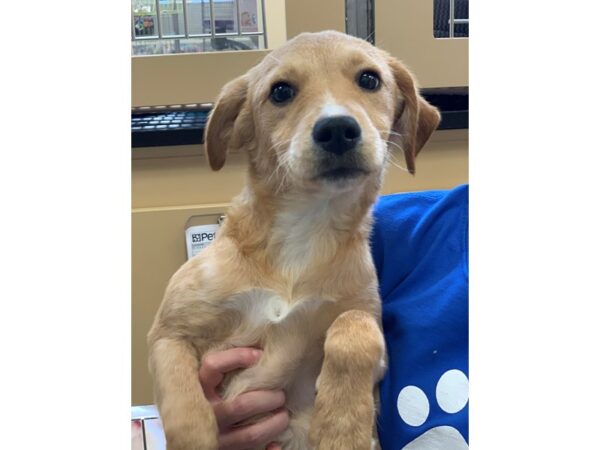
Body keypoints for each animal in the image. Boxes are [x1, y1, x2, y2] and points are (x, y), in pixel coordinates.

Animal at [149, 29, 440, 448]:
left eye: (369, 79)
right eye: (281, 91)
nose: (337, 130)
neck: (306, 227)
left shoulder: (371, 331)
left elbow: (355, 328)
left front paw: (341, 426)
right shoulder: (168, 334)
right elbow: (184, 405)